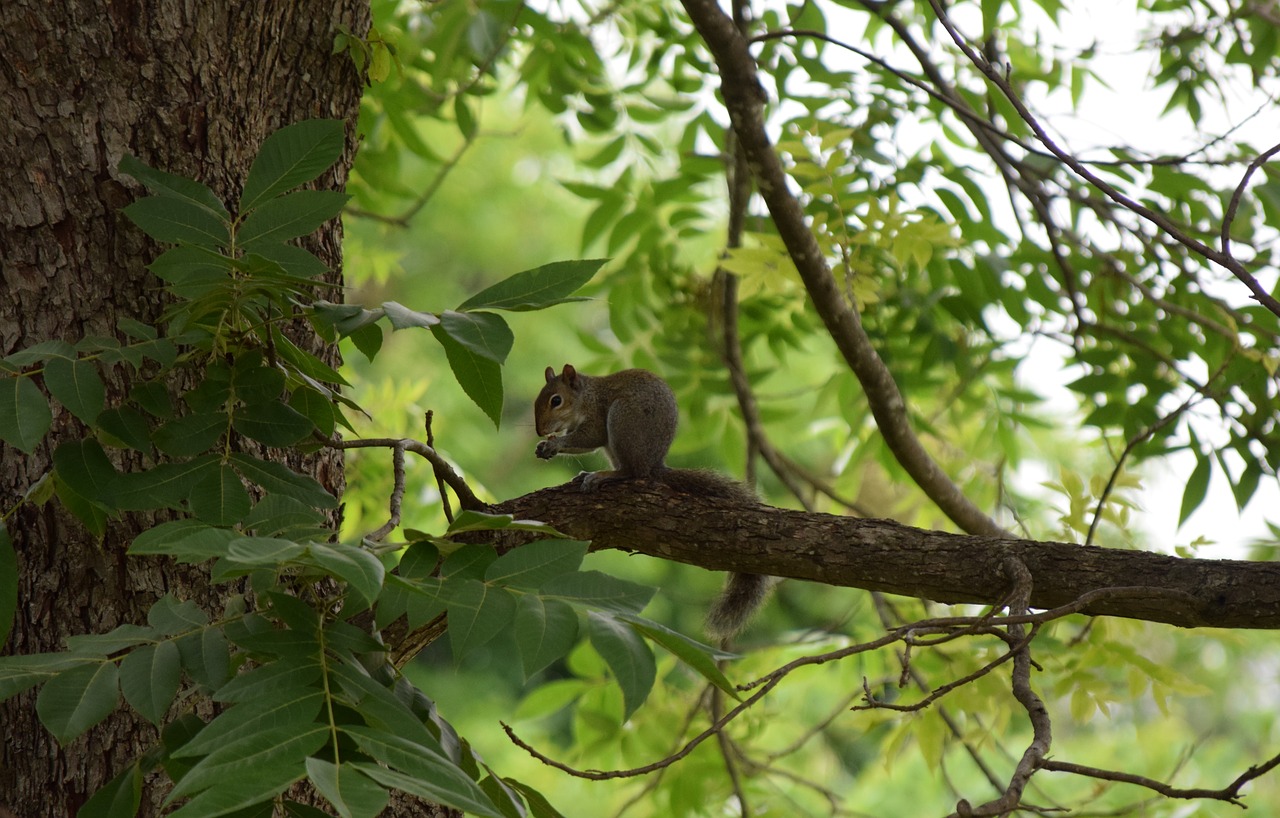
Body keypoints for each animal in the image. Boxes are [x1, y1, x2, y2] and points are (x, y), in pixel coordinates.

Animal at [537, 363, 773, 640]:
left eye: (556, 400)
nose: (540, 431)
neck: (585, 397)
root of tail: (654, 465)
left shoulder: (596, 415)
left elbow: (590, 438)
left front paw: (555, 443)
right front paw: (546, 445)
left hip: (623, 420)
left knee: (633, 472)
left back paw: (603, 476)